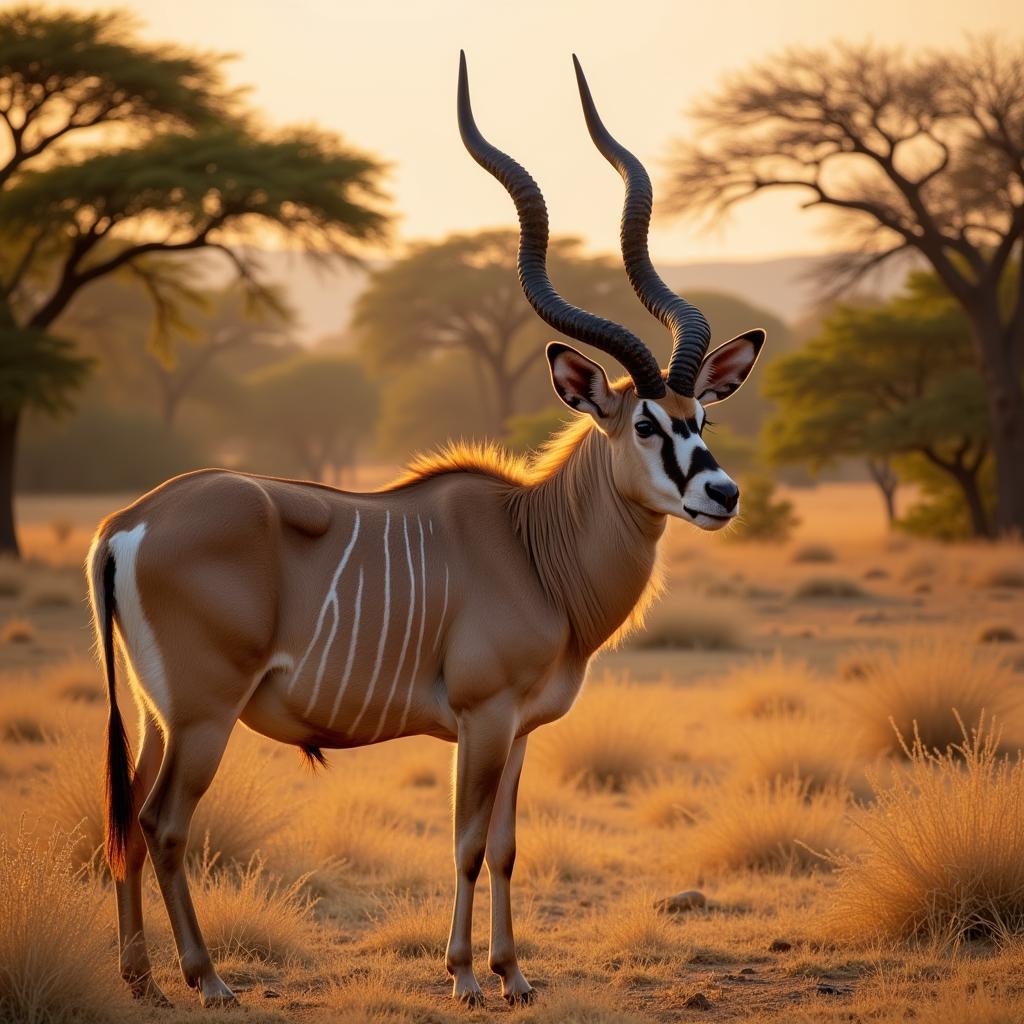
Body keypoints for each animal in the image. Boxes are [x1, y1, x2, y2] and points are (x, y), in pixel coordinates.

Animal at [86, 54, 761, 1007]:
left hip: (160, 718)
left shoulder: (519, 731)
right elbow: (468, 845)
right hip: (206, 717)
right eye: (643, 424)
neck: (532, 543)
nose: (723, 494)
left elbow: (508, 846)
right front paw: (466, 977)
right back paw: (207, 981)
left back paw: (142, 979)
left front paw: (515, 975)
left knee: (126, 821)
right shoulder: (481, 720)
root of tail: (130, 522)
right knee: (163, 822)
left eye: (701, 415)